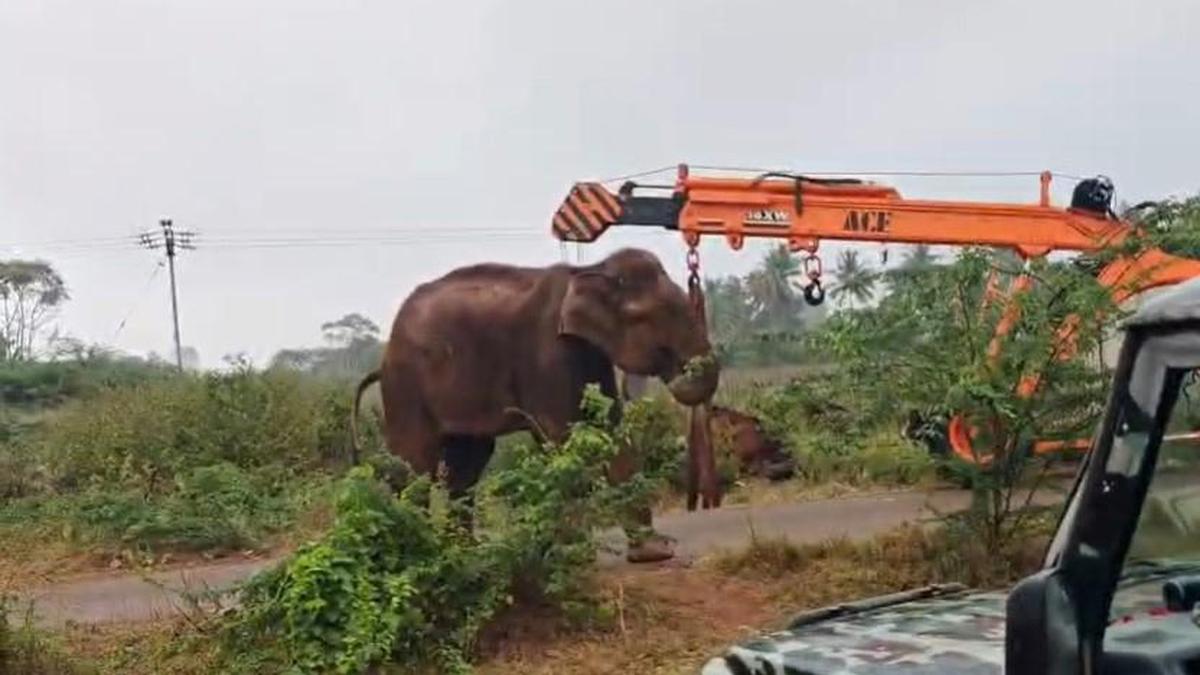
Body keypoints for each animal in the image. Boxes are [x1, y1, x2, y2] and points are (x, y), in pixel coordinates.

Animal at [351, 248, 721, 563]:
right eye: (650, 317)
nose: (681, 372)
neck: (589, 270)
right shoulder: (545, 352)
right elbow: (561, 434)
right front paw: (573, 554)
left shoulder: (589, 353)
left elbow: (610, 427)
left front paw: (653, 553)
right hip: (406, 384)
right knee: (414, 462)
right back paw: (418, 552)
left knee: (468, 461)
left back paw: (466, 551)